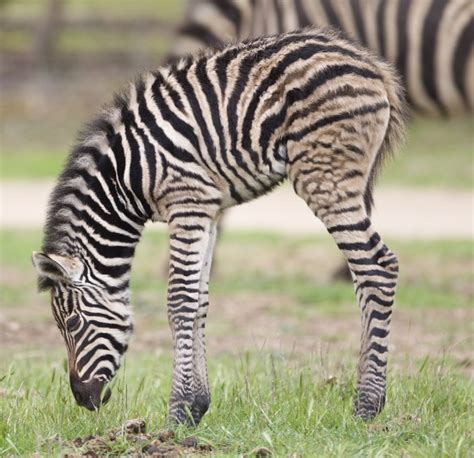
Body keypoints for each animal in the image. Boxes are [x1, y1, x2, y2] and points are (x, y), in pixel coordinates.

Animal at [32, 27, 404, 422]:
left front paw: (178, 412)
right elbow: (199, 300)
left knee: (377, 269)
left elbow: (179, 300)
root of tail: (370, 64)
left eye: (71, 323)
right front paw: (197, 405)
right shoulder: (207, 210)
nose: (82, 398)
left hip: (323, 179)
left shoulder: (186, 201)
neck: (126, 178)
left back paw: (367, 405)